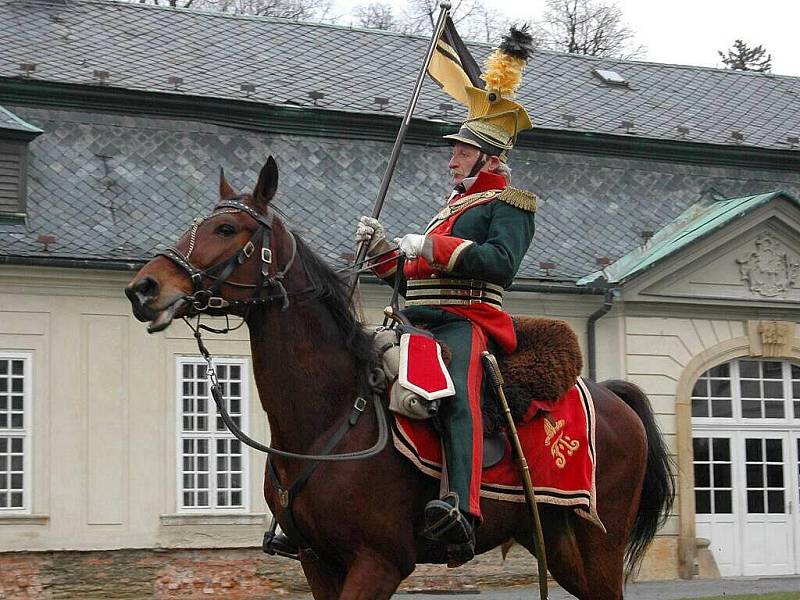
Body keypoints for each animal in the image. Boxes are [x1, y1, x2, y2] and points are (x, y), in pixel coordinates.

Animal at [126, 158, 676, 600]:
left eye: (226, 228)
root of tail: (610, 394)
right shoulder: (317, 562)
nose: (143, 288)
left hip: (597, 545)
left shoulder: (379, 563)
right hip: (561, 547)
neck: (332, 416)